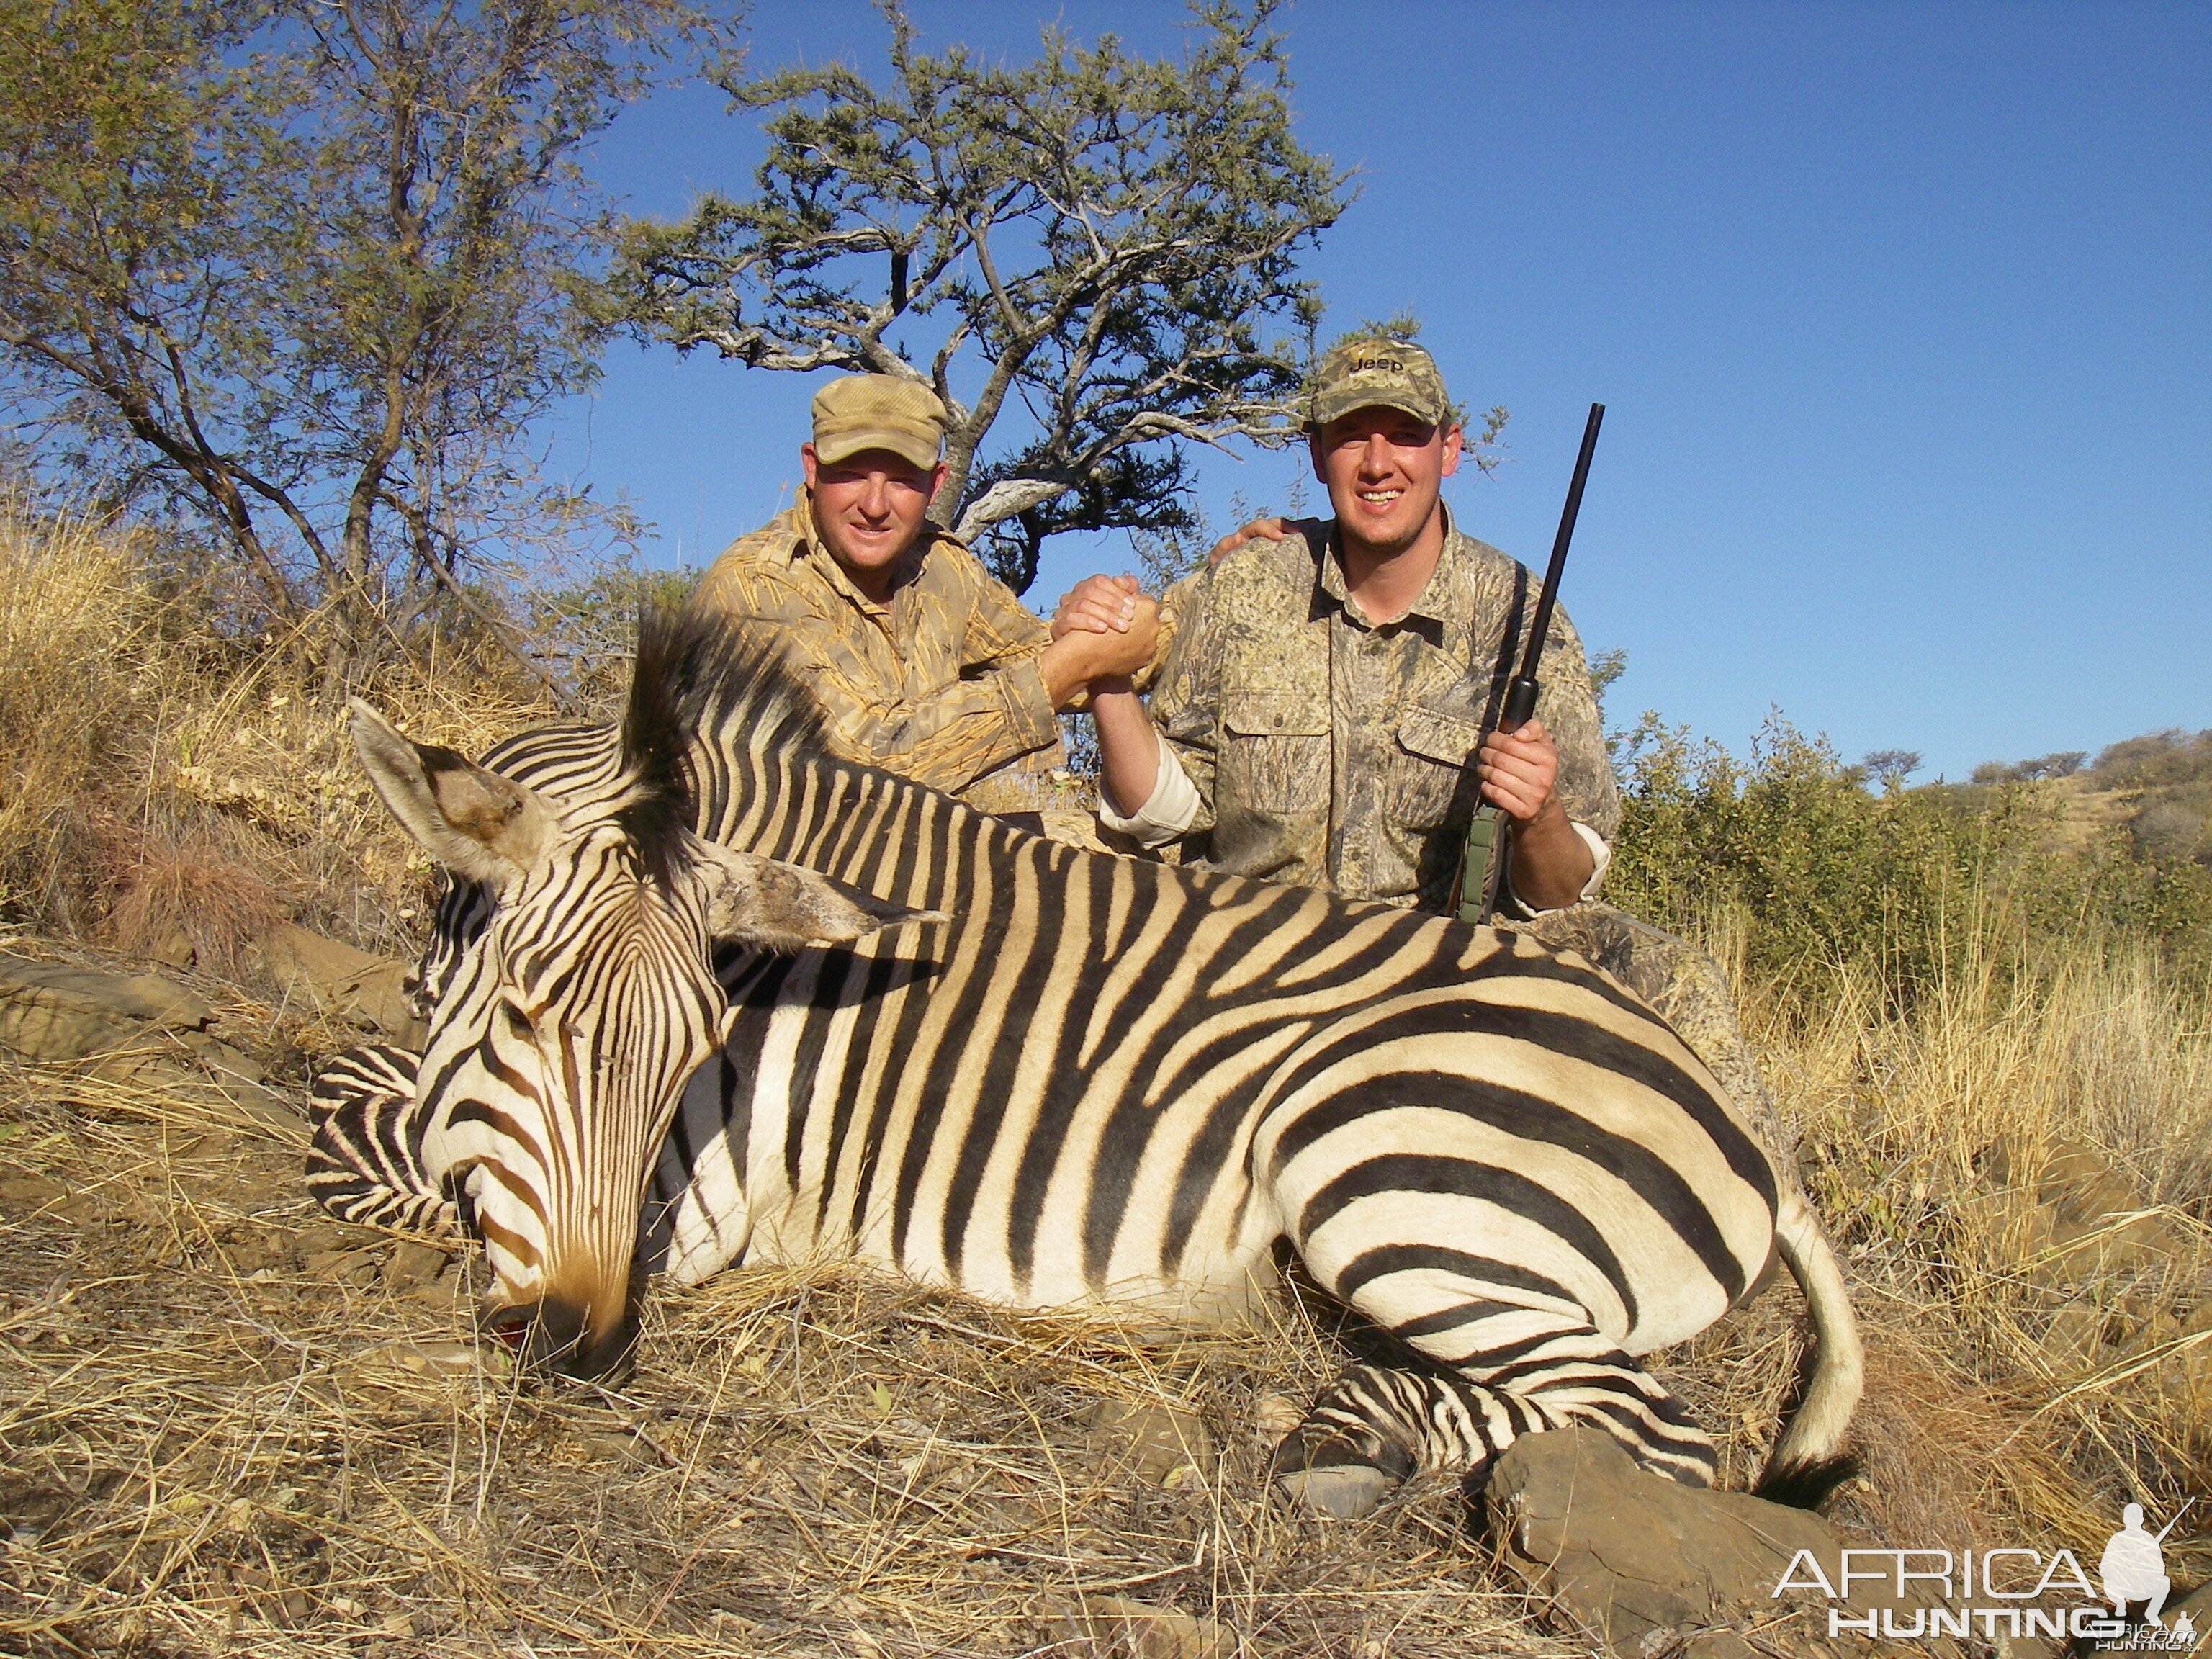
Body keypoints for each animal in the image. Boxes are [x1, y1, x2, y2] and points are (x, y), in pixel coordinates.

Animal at [312, 615, 1858, 1521]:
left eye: (700, 1047)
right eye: (523, 1016)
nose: (574, 1341)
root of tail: (1740, 1131)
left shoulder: (691, 1203)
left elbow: (352, 1129)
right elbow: (365, 1092)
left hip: (1373, 1160)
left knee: (1654, 1430)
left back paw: (1362, 1453)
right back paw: (1345, 1436)